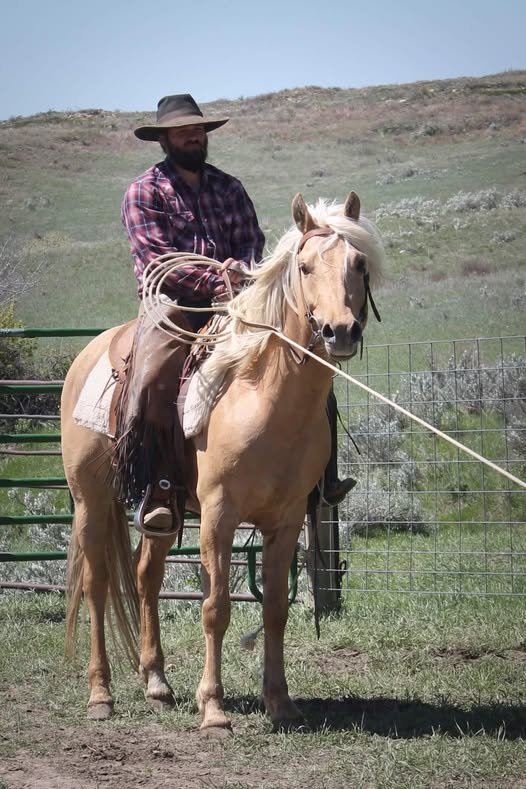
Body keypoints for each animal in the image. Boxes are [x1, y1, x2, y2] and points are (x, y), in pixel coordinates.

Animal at [62, 191, 384, 732]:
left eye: (359, 265)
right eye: (304, 266)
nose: (339, 331)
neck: (263, 396)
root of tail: (88, 355)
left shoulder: (287, 520)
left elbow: (274, 609)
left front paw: (280, 702)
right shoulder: (218, 514)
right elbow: (215, 607)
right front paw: (213, 709)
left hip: (164, 510)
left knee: (146, 575)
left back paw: (157, 683)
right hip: (91, 499)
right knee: (97, 583)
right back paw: (100, 694)